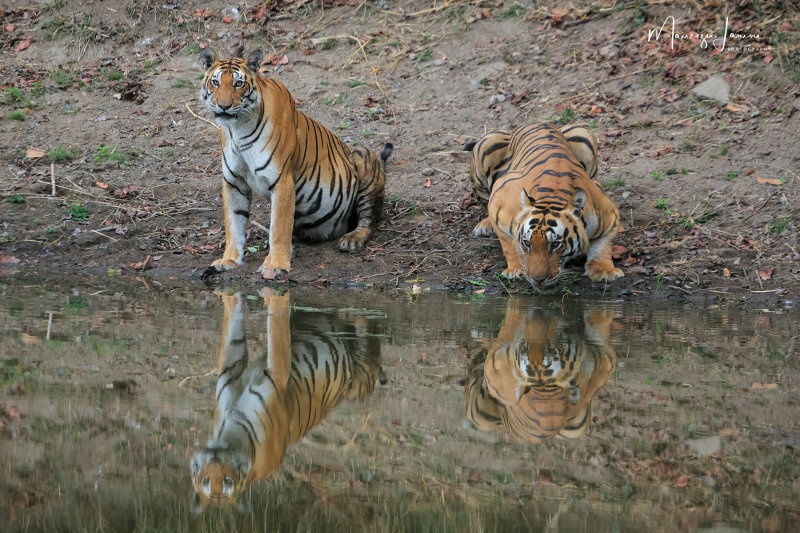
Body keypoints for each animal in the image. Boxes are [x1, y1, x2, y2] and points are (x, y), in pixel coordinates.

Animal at [191, 288, 384, 510]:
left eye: (227, 482)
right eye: (205, 481)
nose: (213, 460)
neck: (232, 438)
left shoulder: (278, 375)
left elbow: (276, 325)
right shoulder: (231, 373)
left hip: (360, 379)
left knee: (369, 332)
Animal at [200, 49, 394, 280]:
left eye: (239, 84)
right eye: (215, 82)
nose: (224, 106)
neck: (238, 128)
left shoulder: (282, 181)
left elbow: (279, 228)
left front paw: (275, 265)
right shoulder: (233, 182)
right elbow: (234, 225)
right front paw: (229, 260)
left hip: (363, 157)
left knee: (369, 220)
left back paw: (351, 240)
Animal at [466, 123, 620, 290]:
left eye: (555, 244)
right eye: (527, 243)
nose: (538, 279)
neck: (552, 196)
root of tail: (536, 123)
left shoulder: (610, 215)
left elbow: (602, 247)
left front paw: (604, 271)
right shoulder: (498, 204)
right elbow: (509, 244)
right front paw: (516, 270)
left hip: (583, 133)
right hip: (486, 145)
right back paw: (484, 226)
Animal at [466, 298, 616, 442]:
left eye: (551, 350)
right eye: (525, 349)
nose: (536, 312)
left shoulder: (605, 360)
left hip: (575, 430)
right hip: (479, 417)